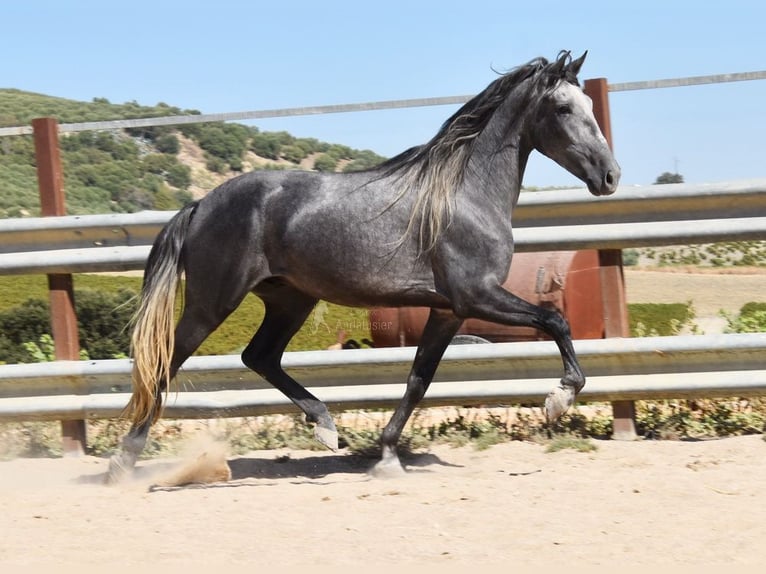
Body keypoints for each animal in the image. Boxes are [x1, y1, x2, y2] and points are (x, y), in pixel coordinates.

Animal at [109, 49, 624, 484]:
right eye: (563, 108)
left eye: (589, 105)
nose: (610, 176)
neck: (463, 196)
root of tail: (200, 205)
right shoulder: (476, 296)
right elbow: (555, 320)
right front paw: (559, 398)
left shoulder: (446, 311)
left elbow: (418, 382)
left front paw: (388, 456)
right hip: (213, 302)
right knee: (167, 361)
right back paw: (123, 462)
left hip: (290, 299)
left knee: (259, 356)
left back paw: (326, 427)